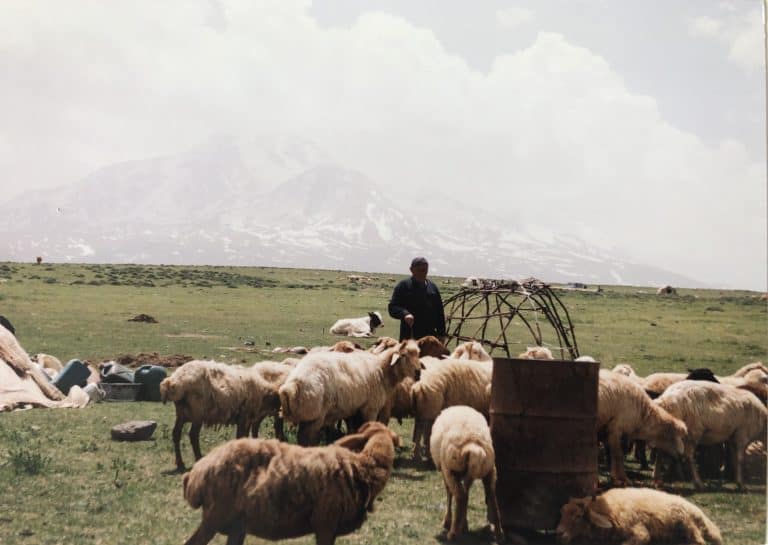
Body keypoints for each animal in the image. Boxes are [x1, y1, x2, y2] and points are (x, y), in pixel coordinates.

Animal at [278, 340, 424, 446]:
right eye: (404, 355)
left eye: (417, 354)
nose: (418, 373)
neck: (383, 370)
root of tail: (291, 386)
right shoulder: (371, 408)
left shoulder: (355, 410)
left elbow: (355, 430)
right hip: (316, 415)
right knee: (306, 439)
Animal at [432, 404, 504, 540]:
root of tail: (473, 447)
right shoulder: (468, 475)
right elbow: (467, 494)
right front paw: (464, 524)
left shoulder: (446, 470)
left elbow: (450, 494)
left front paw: (448, 522)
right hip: (488, 470)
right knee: (491, 496)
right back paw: (498, 532)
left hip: (451, 469)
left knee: (460, 496)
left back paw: (453, 533)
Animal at [556, 486, 724, 544]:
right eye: (562, 512)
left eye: (578, 517)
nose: (558, 533)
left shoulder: (639, 531)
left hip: (686, 524)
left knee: (700, 541)